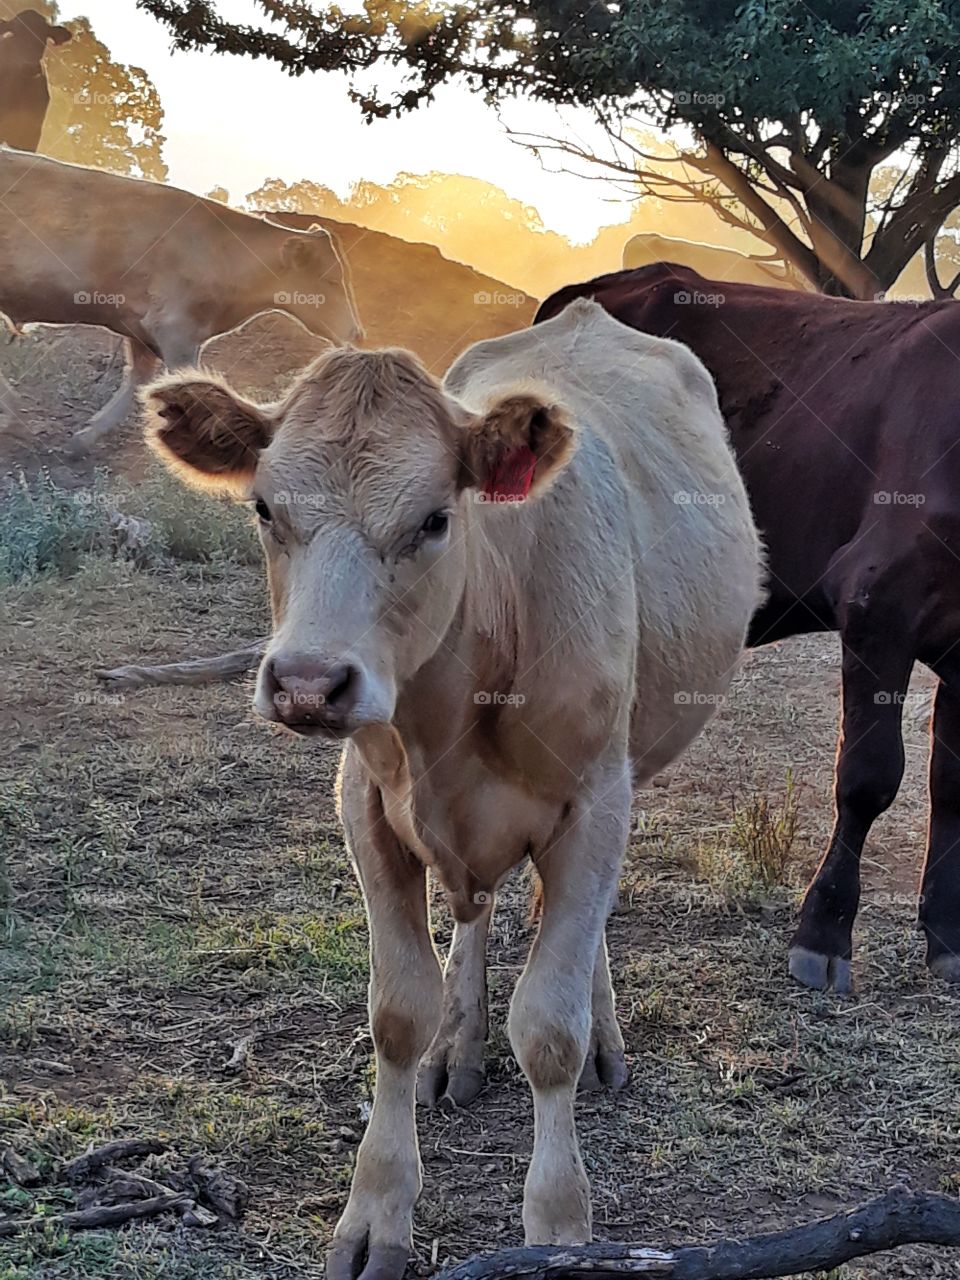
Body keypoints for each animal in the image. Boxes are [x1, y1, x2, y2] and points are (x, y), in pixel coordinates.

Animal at [0, 149, 362, 450]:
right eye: (332, 279)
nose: (358, 332)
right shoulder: (176, 329)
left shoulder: (141, 329)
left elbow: (137, 382)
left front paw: (84, 438)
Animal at [142, 298, 762, 1270]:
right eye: (265, 508)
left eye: (435, 518)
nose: (309, 683)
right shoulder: (365, 804)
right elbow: (399, 1010)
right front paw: (374, 1214)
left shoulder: (597, 802)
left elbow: (549, 1025)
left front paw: (558, 1224)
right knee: (472, 918)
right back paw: (457, 1047)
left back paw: (601, 1035)